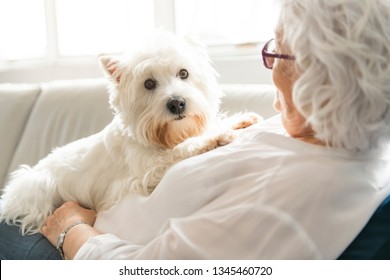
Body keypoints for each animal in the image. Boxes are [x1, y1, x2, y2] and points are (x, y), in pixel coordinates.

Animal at [0, 31, 262, 234]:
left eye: (184, 73)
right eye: (148, 84)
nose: (177, 103)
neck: (161, 136)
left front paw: (238, 120)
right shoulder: (139, 177)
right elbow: (177, 152)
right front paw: (213, 138)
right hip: (37, 186)